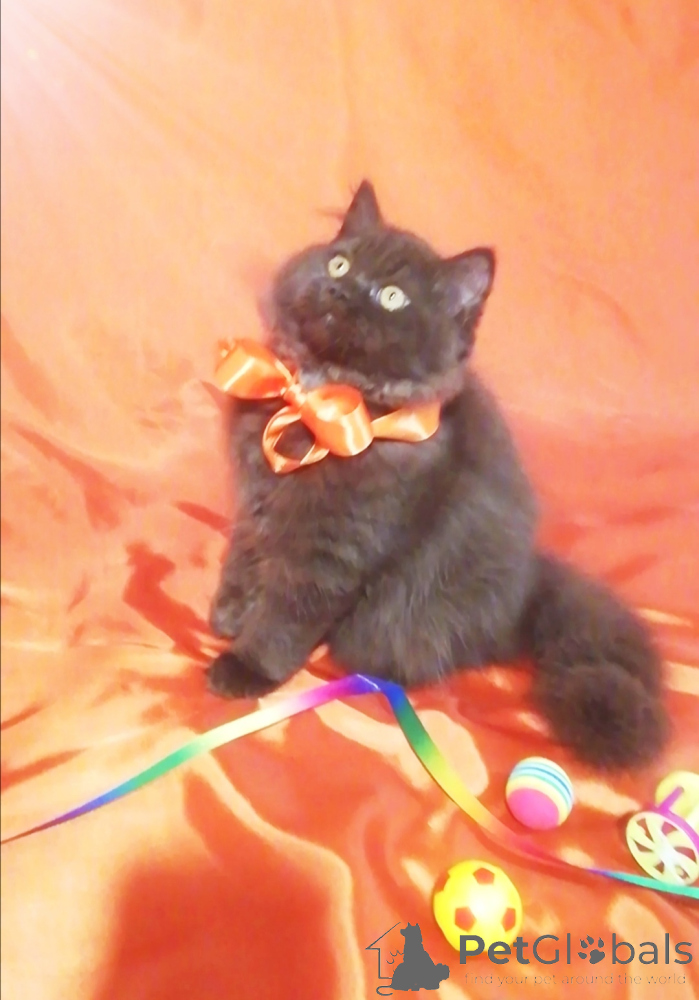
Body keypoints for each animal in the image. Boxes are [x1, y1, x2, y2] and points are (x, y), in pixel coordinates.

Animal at [206, 180, 669, 770]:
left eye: (392, 298)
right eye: (338, 264)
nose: (341, 291)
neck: (318, 399)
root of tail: (528, 588)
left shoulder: (333, 547)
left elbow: (286, 612)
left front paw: (247, 665)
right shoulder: (257, 502)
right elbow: (244, 559)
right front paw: (228, 615)